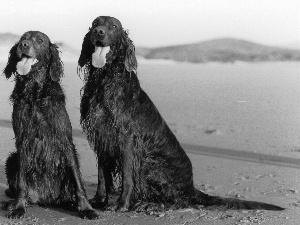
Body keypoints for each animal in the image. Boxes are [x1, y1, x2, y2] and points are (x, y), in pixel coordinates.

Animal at [2, 30, 98, 219]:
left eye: (40, 40)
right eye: (22, 38)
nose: (23, 45)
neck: (35, 94)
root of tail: (45, 199)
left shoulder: (65, 140)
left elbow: (78, 180)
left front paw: (86, 208)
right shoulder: (23, 140)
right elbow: (21, 181)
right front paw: (18, 207)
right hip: (12, 159)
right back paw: (12, 203)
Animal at [77, 16, 284, 212]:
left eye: (113, 26)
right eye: (95, 23)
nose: (98, 32)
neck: (105, 79)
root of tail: (191, 186)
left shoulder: (126, 139)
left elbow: (128, 177)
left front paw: (122, 204)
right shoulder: (101, 136)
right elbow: (102, 175)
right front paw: (98, 200)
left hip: (151, 163)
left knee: (179, 201)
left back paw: (150, 205)